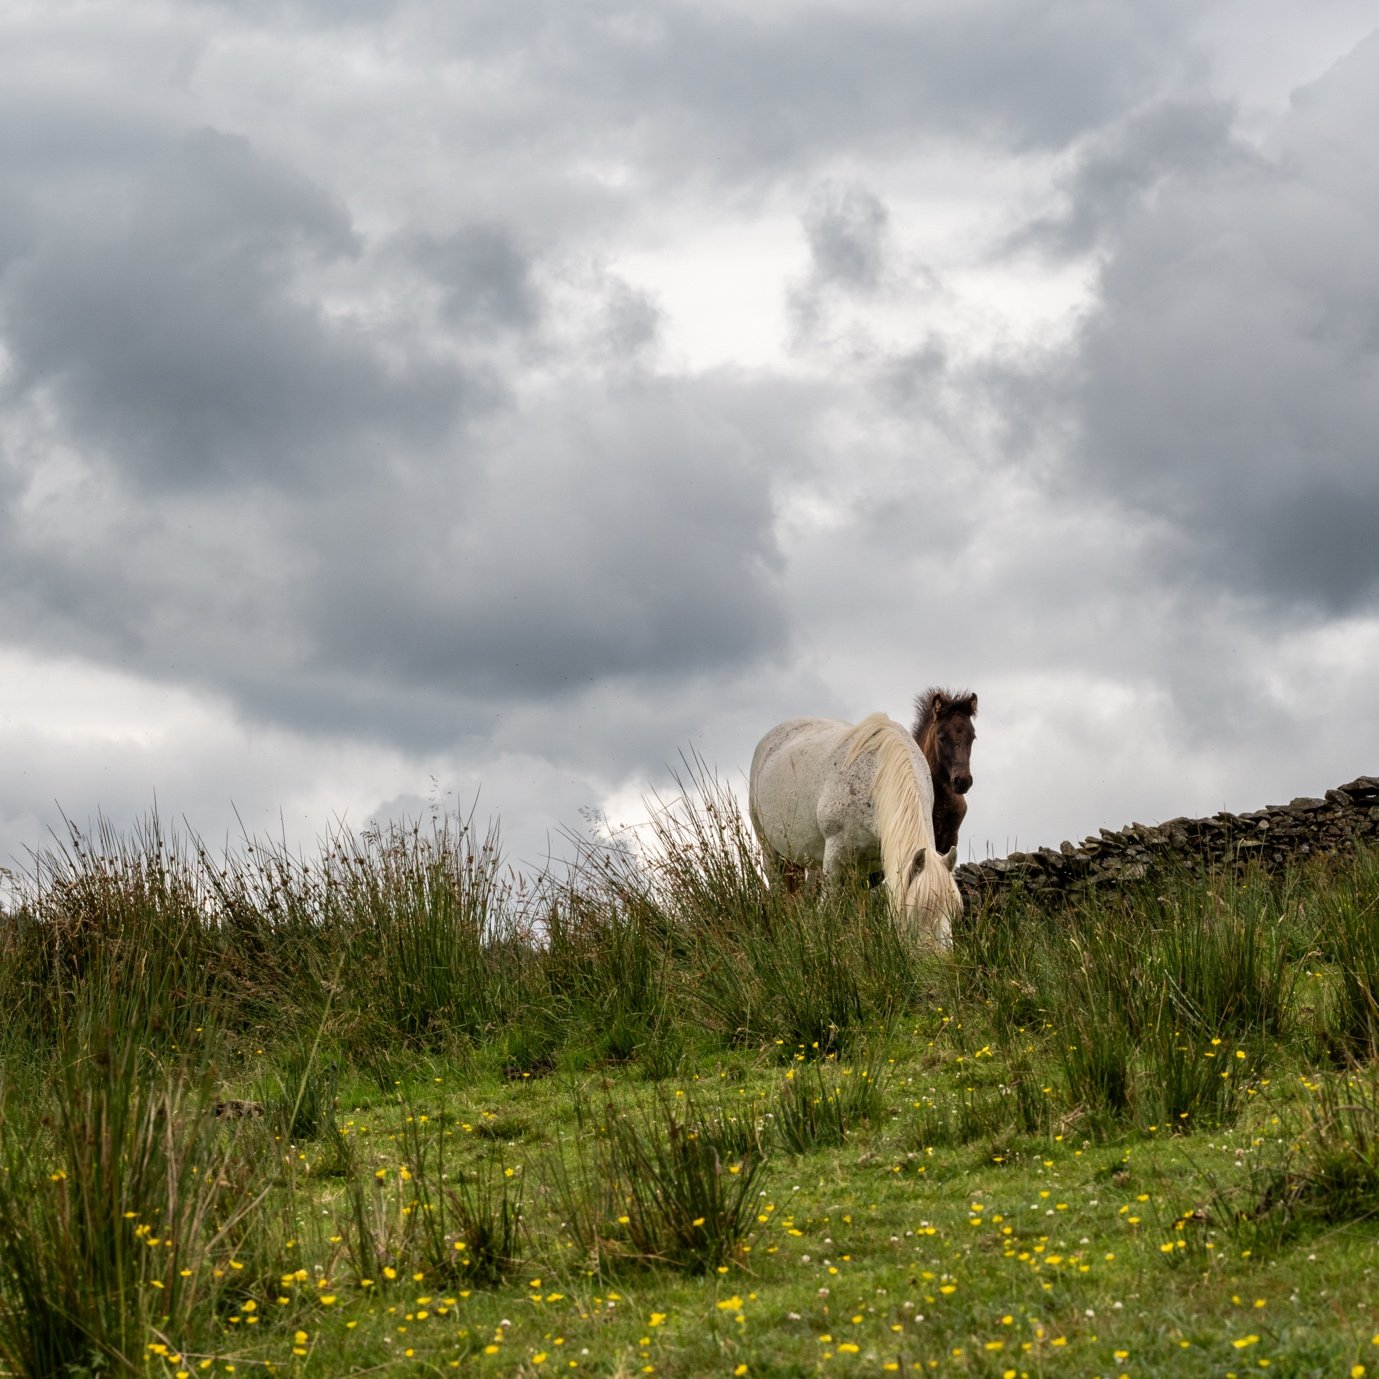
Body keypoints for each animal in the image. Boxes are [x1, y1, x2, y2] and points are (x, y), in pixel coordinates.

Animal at [748, 713, 962, 948]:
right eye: (918, 911)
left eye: (954, 911)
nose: (938, 957)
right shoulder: (835, 855)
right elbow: (828, 905)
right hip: (769, 848)